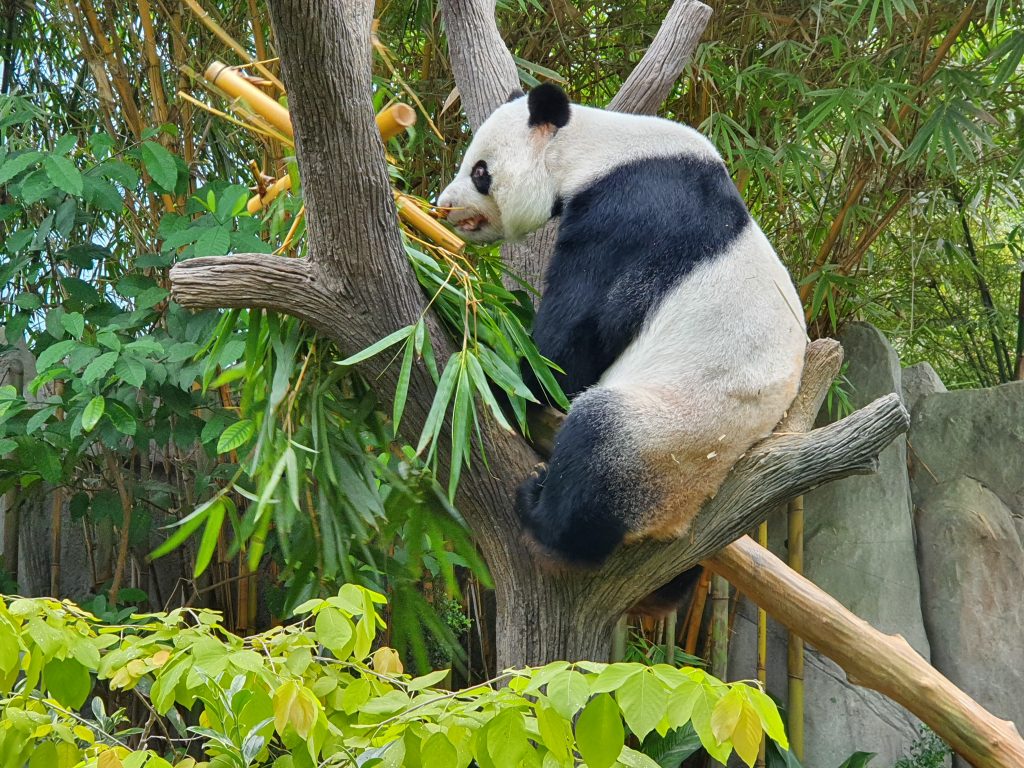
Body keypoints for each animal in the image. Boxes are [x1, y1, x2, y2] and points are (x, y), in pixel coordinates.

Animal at [436, 83, 802, 573]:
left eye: (480, 171)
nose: (443, 206)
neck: (594, 148)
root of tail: (674, 519)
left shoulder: (634, 212)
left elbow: (577, 338)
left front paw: (499, 360)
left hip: (669, 437)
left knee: (597, 441)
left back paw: (542, 516)